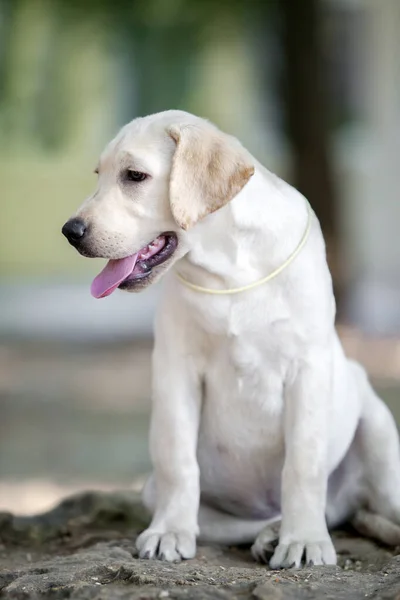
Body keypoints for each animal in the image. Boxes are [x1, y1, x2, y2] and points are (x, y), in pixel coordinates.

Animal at [61, 111, 400, 568]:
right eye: (99, 175)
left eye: (134, 176)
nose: (70, 231)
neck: (230, 274)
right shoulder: (175, 370)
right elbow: (178, 460)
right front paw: (170, 531)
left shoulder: (308, 369)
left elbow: (303, 464)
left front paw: (305, 539)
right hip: (158, 492)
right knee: (242, 522)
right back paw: (267, 535)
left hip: (379, 435)